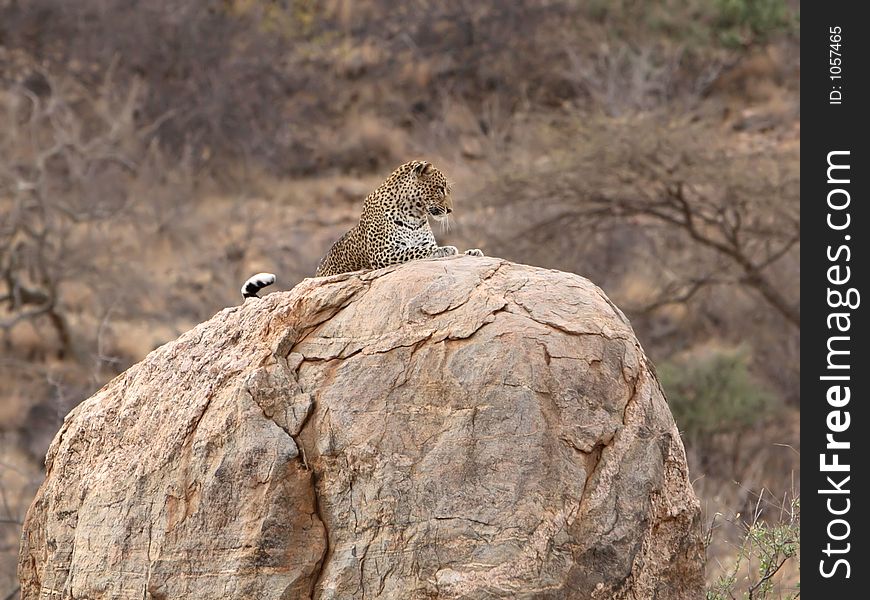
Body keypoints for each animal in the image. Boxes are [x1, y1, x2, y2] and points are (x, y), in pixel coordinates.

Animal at [238, 161, 484, 298]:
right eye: (440, 189)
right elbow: (417, 251)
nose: (450, 210)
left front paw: (474, 252)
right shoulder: (383, 254)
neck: (415, 214)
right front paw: (446, 249)